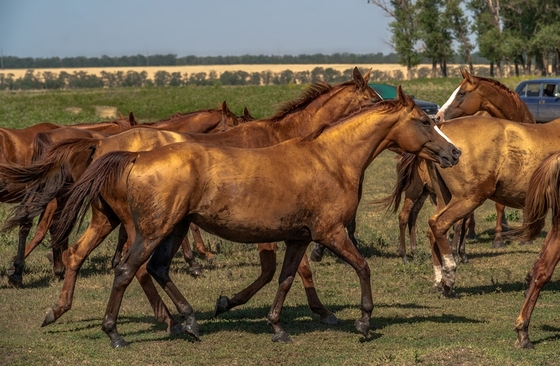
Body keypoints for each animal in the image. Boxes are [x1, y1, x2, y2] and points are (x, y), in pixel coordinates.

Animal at [6, 67, 380, 334]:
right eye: (373, 99)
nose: (384, 110)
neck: (289, 141)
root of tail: (102, 145)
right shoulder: (275, 224)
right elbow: (284, 269)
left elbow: (287, 268)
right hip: (139, 225)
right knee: (134, 266)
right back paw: (169, 318)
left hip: (107, 219)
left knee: (79, 255)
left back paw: (59, 309)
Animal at [48, 87, 460, 348]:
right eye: (424, 122)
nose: (454, 153)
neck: (331, 158)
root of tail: (133, 155)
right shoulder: (330, 233)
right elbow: (361, 267)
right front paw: (363, 322)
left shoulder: (298, 237)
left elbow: (286, 278)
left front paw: (277, 327)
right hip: (150, 231)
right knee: (126, 270)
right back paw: (117, 333)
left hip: (168, 228)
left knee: (154, 269)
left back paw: (188, 321)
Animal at [388, 117, 560, 298]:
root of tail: (441, 125)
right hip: (468, 198)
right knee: (438, 224)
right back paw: (448, 276)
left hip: (445, 199)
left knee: (432, 229)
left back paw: (438, 278)